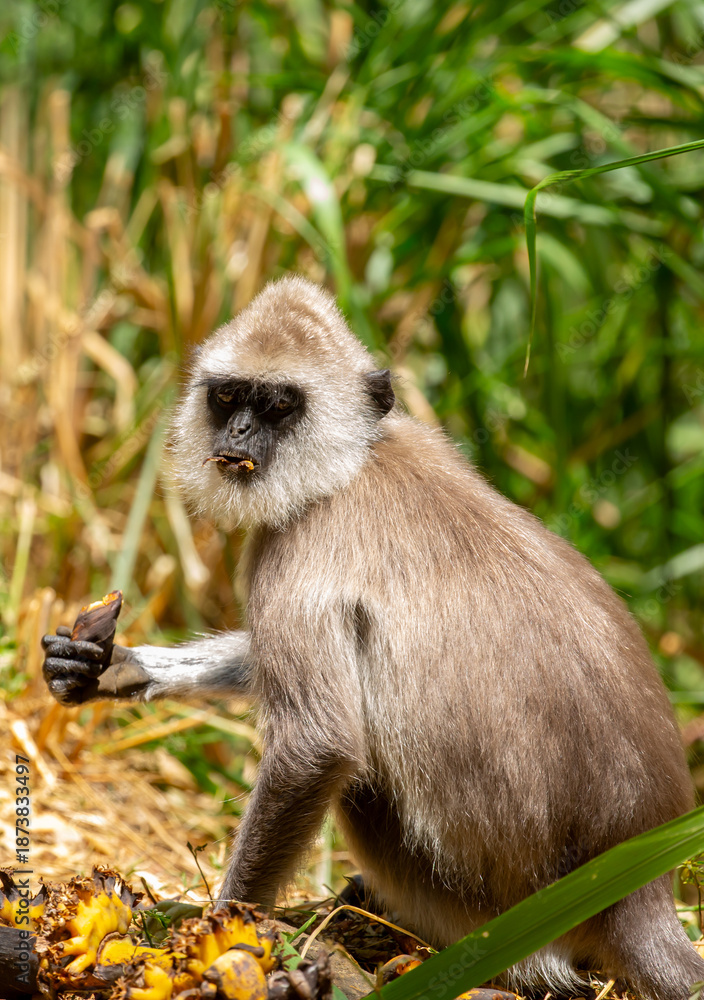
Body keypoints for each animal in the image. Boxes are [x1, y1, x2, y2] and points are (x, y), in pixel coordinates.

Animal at [42, 275, 704, 1000]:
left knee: (362, 785)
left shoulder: (297, 547)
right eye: (229, 398)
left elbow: (316, 746)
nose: (240, 431)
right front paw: (112, 666)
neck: (354, 462)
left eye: (278, 405)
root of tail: (637, 893)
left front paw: (213, 933)